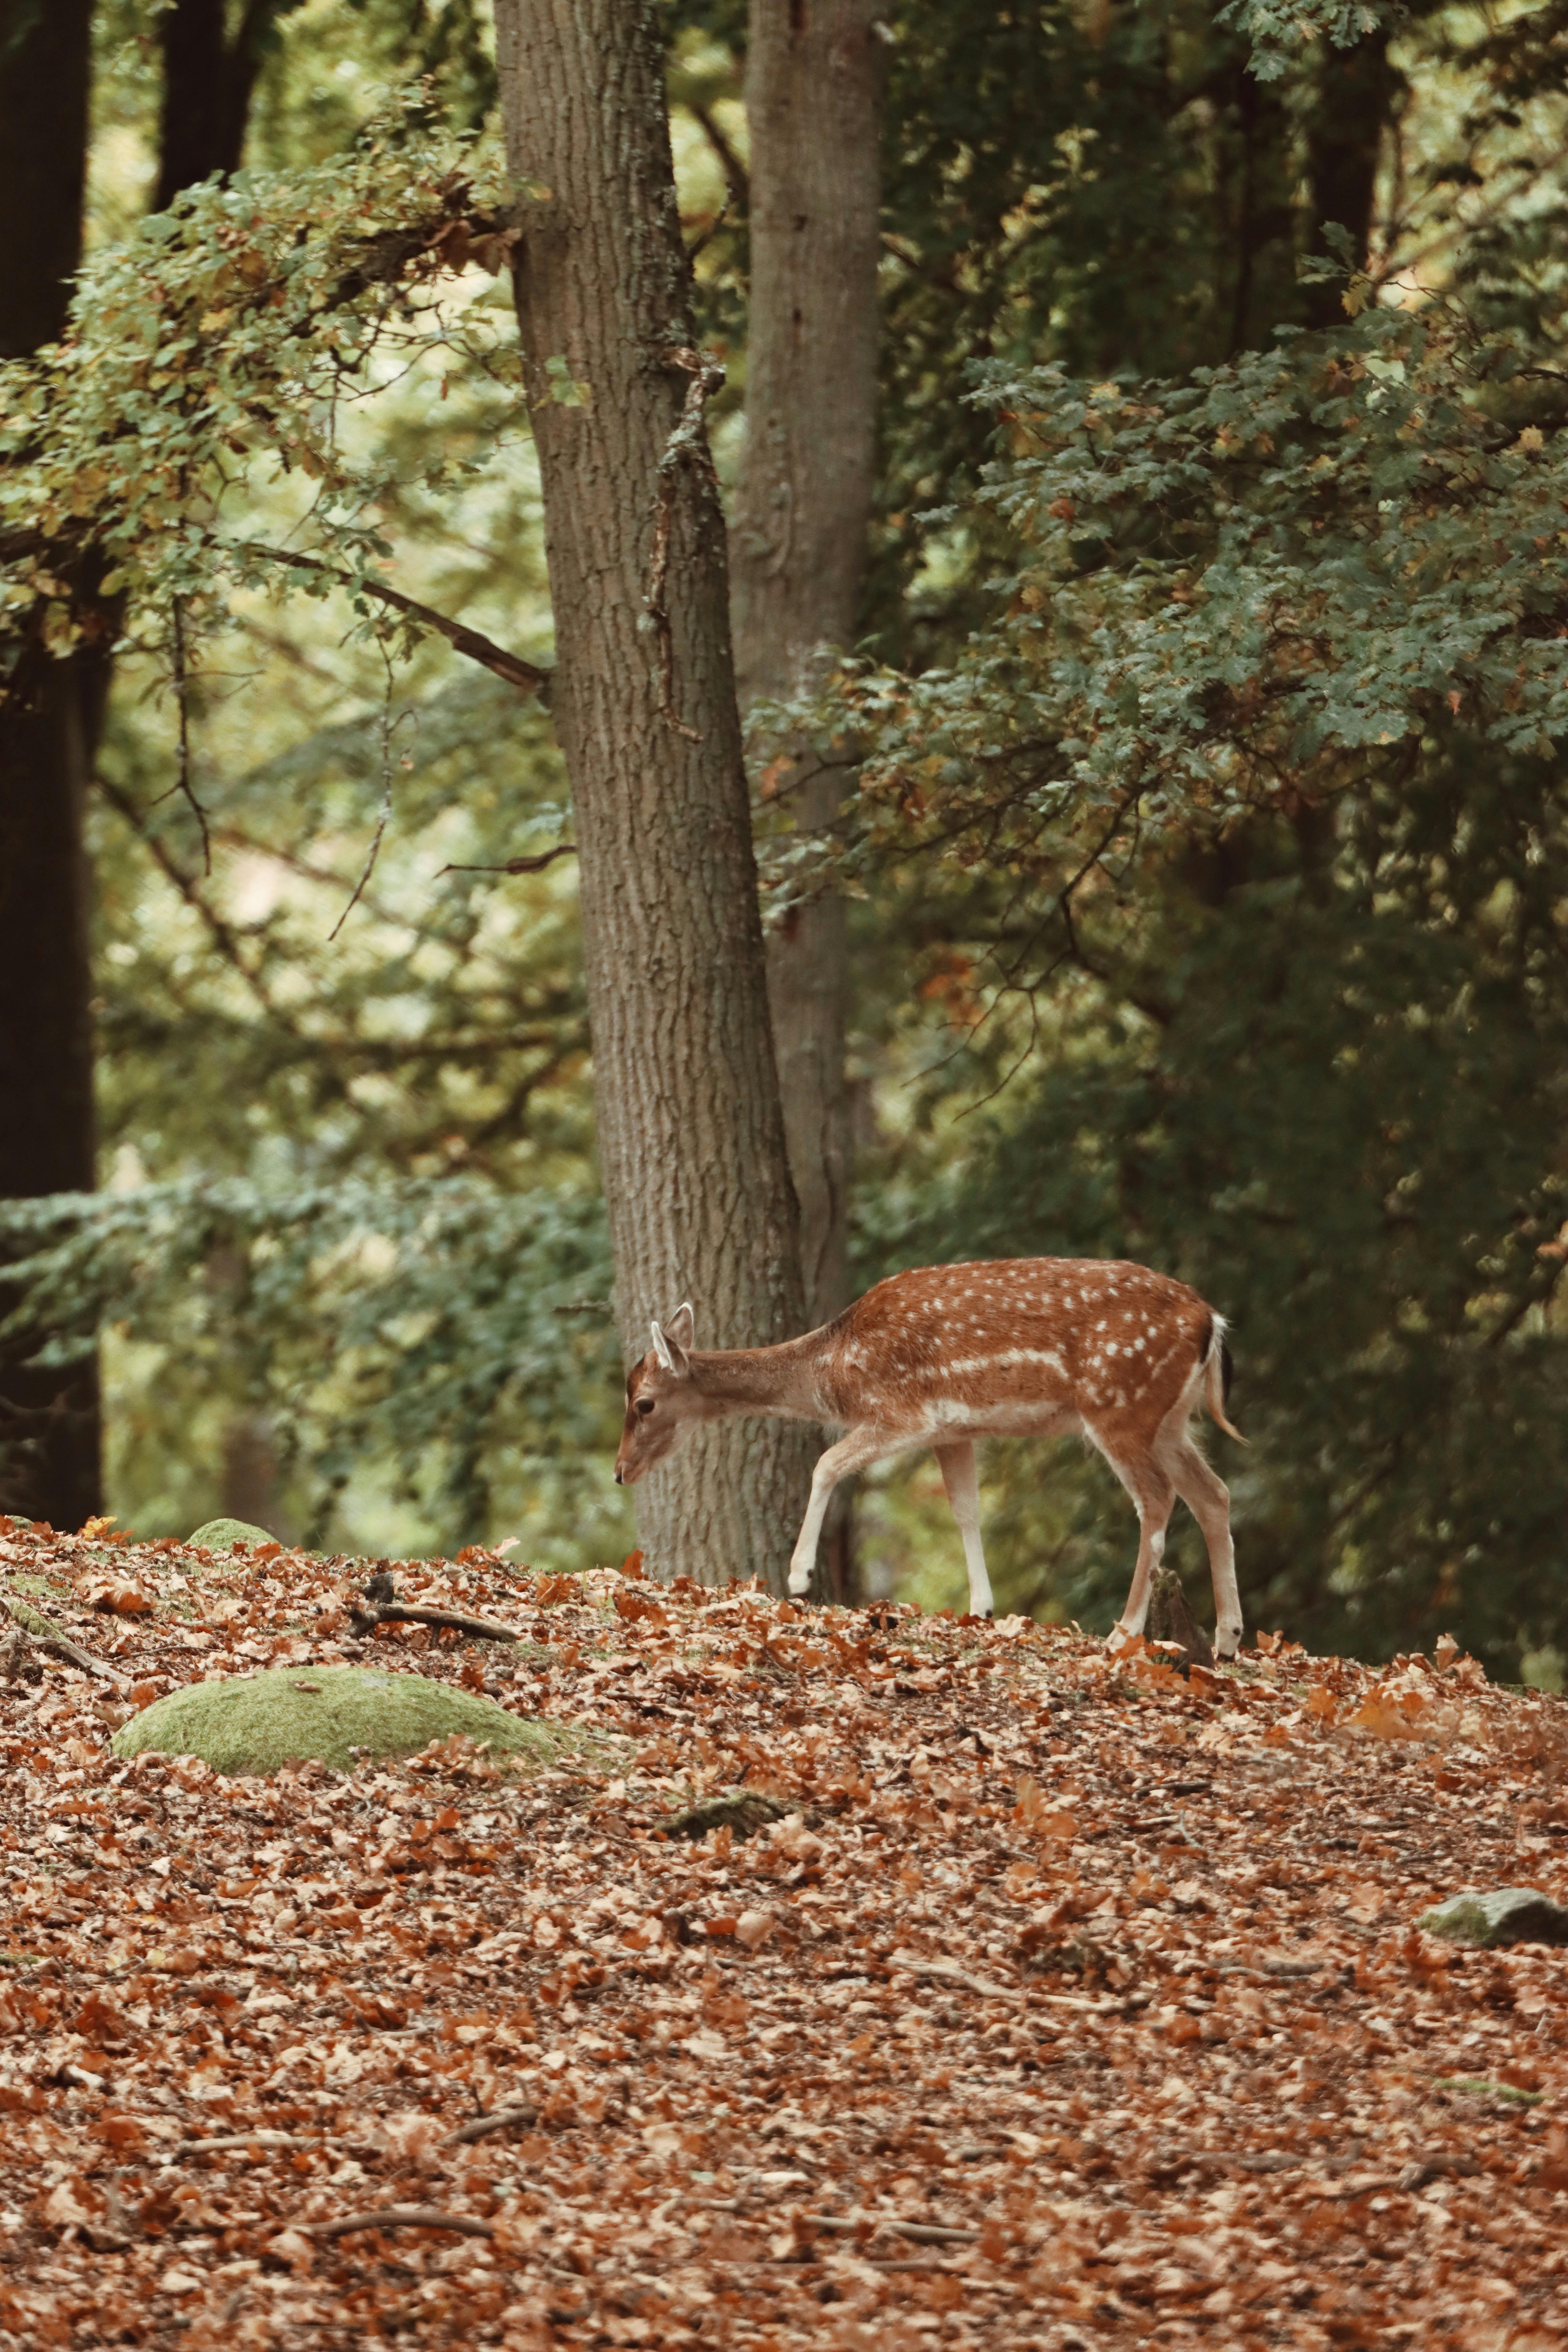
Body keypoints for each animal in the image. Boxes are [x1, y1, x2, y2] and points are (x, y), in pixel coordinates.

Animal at [620, 1260, 1241, 1665]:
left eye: (643, 1404)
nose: (620, 1472)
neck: (833, 1371)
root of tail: (1212, 1321)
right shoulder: (953, 1430)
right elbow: (965, 1509)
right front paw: (983, 1608)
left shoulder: (903, 1413)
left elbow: (826, 1464)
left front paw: (800, 1576)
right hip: (1170, 1421)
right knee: (1215, 1493)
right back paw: (1227, 1639)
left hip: (1119, 1406)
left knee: (1157, 1500)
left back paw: (1124, 1634)